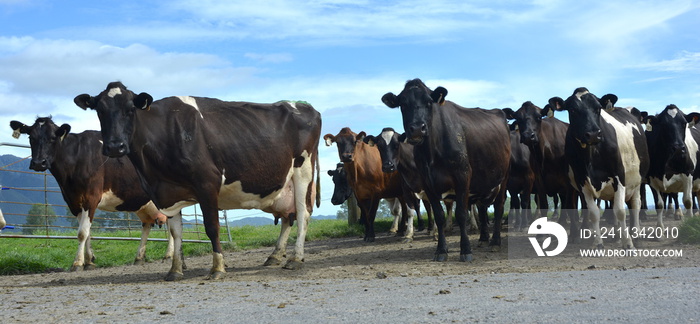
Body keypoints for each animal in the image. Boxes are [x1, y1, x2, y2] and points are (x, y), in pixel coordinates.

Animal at [73, 81, 320, 280]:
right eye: (100, 111)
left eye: (130, 109)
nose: (115, 146)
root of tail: (306, 106)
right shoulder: (169, 193)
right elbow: (176, 233)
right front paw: (174, 270)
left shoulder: (207, 184)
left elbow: (212, 227)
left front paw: (218, 268)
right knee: (289, 217)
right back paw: (275, 256)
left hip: (303, 171)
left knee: (302, 214)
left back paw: (295, 258)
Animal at [380, 79, 512, 264]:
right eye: (403, 104)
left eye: (429, 102)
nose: (417, 129)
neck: (432, 153)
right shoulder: (428, 183)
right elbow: (439, 216)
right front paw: (441, 250)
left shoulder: (462, 176)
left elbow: (461, 214)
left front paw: (465, 250)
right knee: (482, 207)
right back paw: (483, 238)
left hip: (503, 177)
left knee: (499, 207)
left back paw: (495, 242)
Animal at [548, 88, 652, 248]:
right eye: (572, 110)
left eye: (598, 108)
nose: (593, 134)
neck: (591, 155)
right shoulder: (582, 181)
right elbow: (593, 213)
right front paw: (598, 243)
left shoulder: (619, 177)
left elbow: (620, 211)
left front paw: (628, 243)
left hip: (636, 180)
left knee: (635, 205)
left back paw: (636, 236)